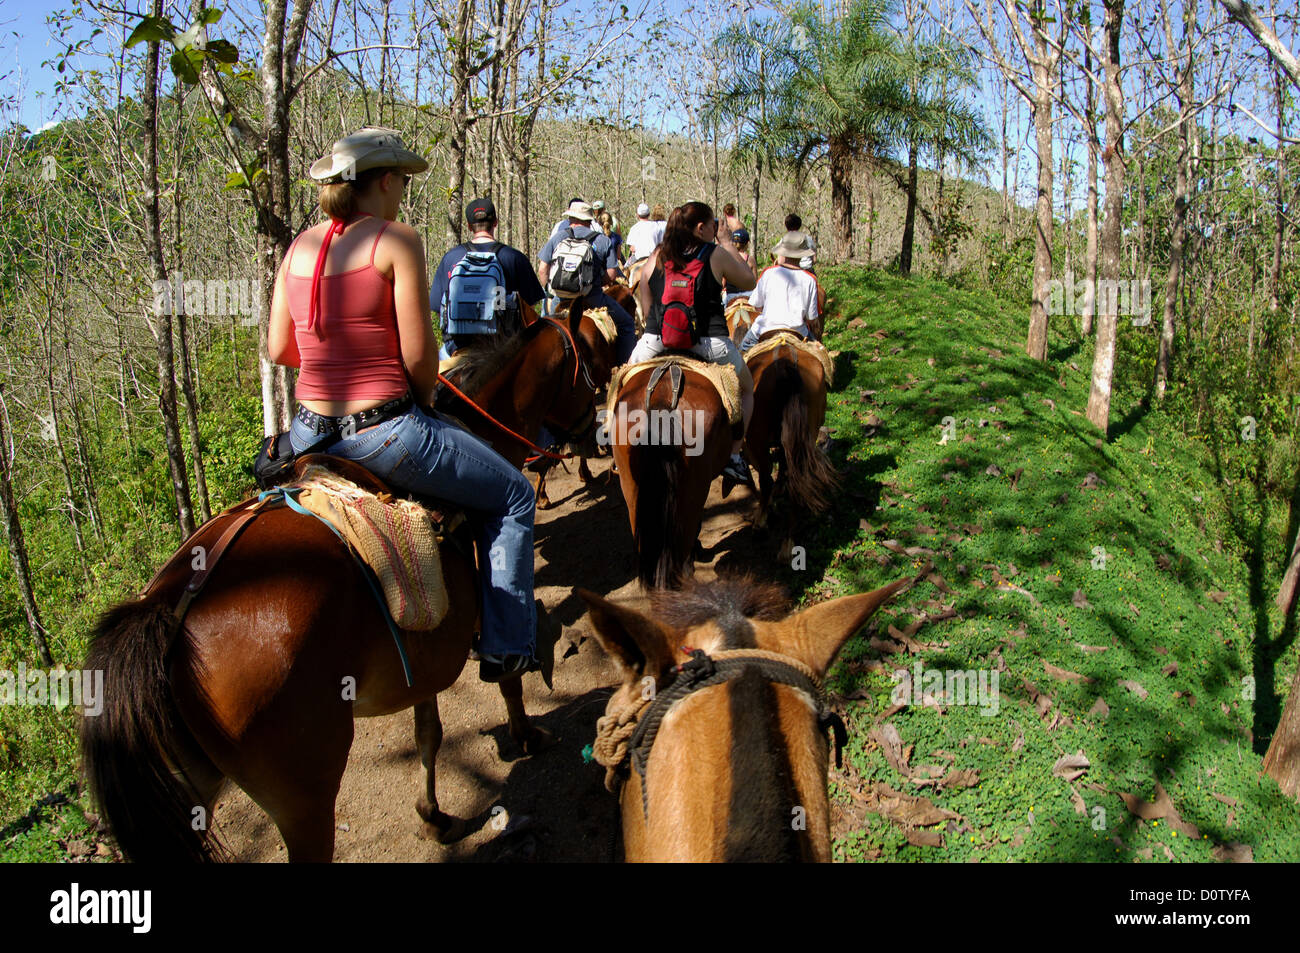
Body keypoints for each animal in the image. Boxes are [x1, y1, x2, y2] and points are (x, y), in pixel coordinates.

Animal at [80, 316, 602, 862]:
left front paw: (433, 816)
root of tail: (168, 610)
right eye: (589, 360)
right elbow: (507, 676)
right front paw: (526, 735)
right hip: (304, 798)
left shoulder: (428, 650)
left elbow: (428, 732)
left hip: (192, 794)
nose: (595, 430)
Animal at [744, 332, 839, 553]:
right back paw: (788, 542)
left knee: (766, 479)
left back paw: (762, 525)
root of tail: (786, 364)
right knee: (796, 481)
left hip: (757, 439)